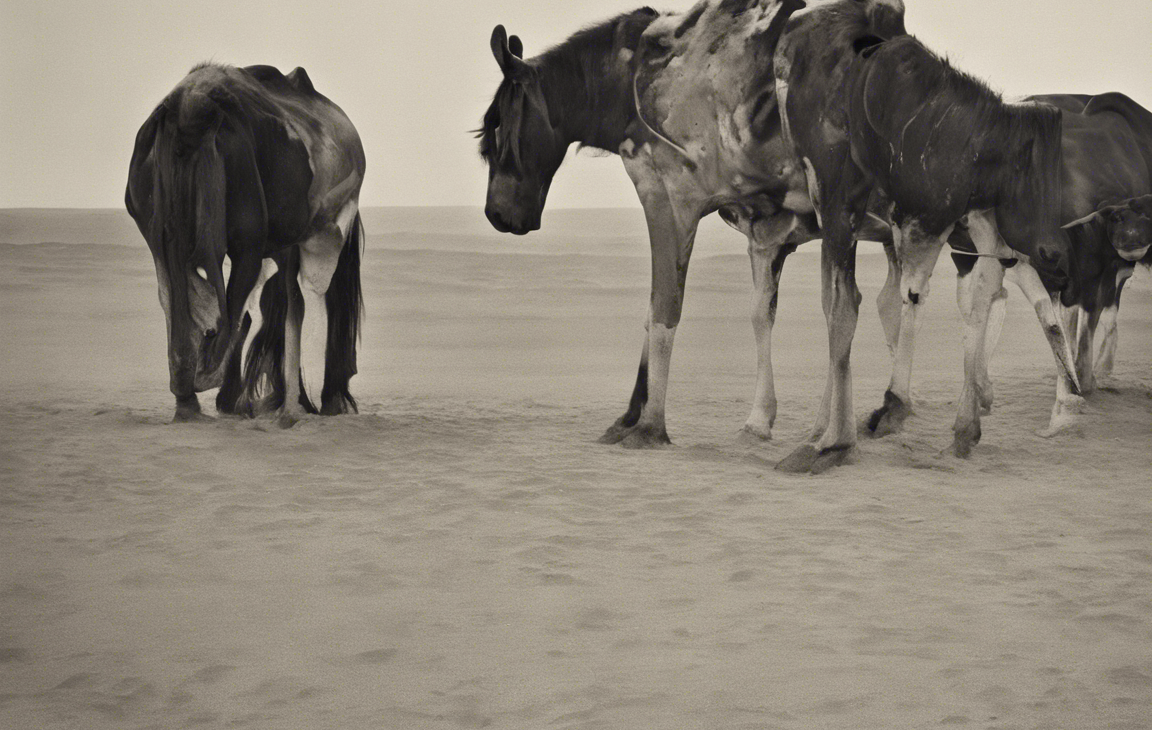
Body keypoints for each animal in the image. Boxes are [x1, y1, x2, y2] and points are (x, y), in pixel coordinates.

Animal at [476, 0, 898, 462]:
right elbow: (669, 309)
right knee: (877, 302)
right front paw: (631, 417)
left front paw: (649, 426)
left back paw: (847, 434)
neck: (632, 82)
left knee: (856, 303)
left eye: (496, 126)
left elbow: (665, 307)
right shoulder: (759, 233)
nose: (495, 214)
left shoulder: (669, 197)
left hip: (847, 211)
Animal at [774, 4, 1078, 465]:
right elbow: (851, 305)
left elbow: (906, 297)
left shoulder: (943, 218)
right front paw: (838, 436)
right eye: (1022, 166)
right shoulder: (852, 207)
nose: (1055, 252)